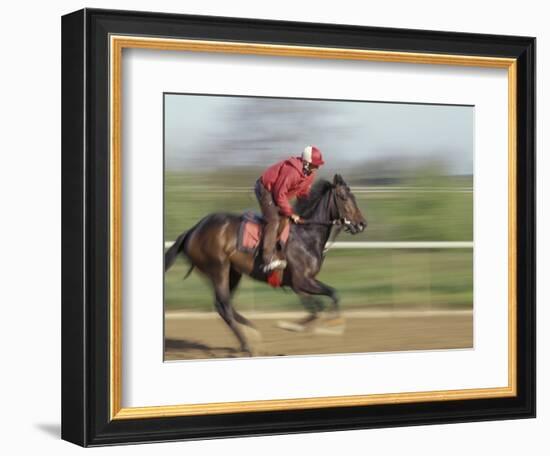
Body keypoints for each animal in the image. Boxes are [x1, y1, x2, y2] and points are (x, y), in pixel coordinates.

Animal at [166, 173, 368, 354]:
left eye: (354, 196)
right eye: (343, 197)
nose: (361, 224)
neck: (306, 235)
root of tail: (193, 230)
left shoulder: (300, 283)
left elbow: (328, 298)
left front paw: (326, 325)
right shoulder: (301, 281)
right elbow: (320, 305)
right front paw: (306, 325)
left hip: (234, 273)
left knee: (223, 305)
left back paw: (251, 333)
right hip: (218, 268)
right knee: (224, 305)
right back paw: (248, 344)